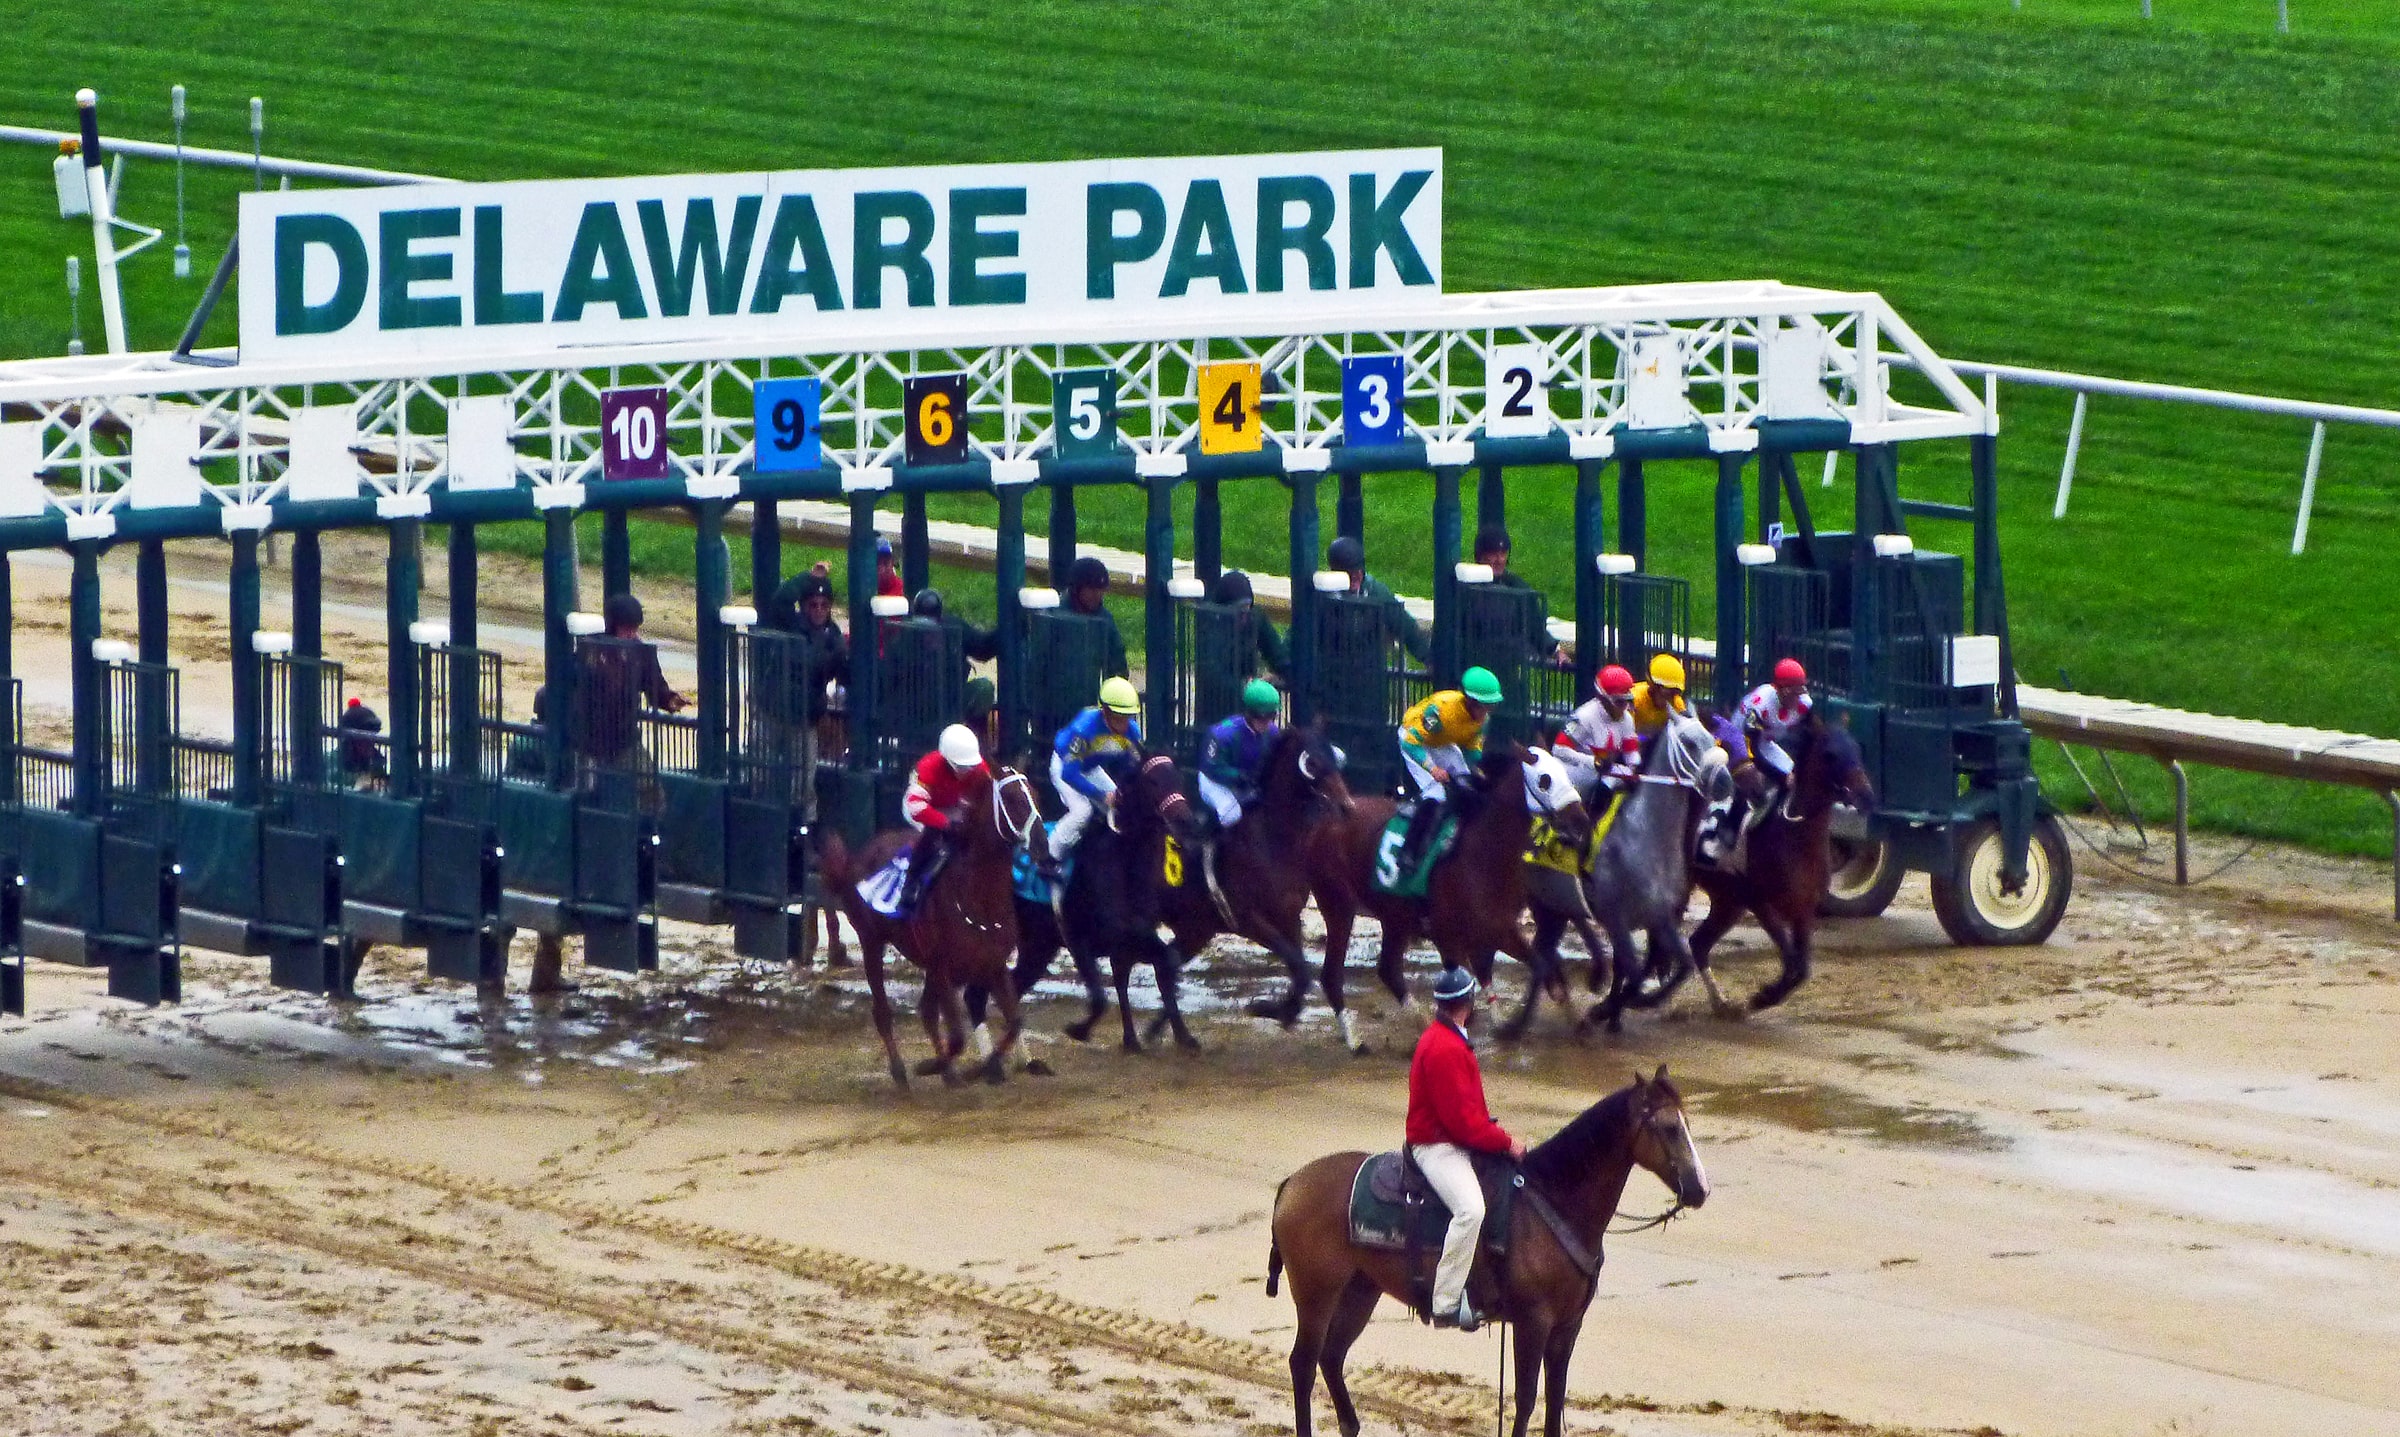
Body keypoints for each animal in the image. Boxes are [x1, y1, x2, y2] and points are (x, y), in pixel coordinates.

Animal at [820, 772, 1046, 1084]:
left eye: (1035, 794)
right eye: (1012, 799)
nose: (1041, 842)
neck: (979, 898)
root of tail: (857, 859)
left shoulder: (993, 965)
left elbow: (1014, 1022)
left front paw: (979, 1067)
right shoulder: (943, 967)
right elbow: (958, 1037)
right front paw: (932, 1066)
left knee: (926, 1012)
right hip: (871, 942)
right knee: (883, 1012)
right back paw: (901, 1072)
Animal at [1267, 1069, 1718, 1437]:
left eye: (1687, 1124)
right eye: (1669, 1128)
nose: (1699, 1190)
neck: (1552, 1201)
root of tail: (1293, 1183)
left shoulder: (1567, 1327)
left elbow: (1555, 1400)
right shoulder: (1532, 1323)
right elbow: (1527, 1398)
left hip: (1359, 1292)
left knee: (1331, 1357)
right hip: (1316, 1296)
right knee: (1303, 1364)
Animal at [1305, 748, 1584, 1050]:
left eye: (1566, 772)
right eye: (1544, 780)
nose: (1581, 820)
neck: (1482, 852)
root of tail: (1327, 820)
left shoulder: (1500, 928)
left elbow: (1537, 964)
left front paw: (1561, 1015)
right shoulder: (1449, 938)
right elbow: (1464, 984)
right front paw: (1508, 1026)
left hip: (1395, 917)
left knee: (1389, 969)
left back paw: (1420, 1020)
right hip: (1338, 906)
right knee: (1332, 975)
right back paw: (1355, 1040)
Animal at [1497, 714, 1728, 1041]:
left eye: (1711, 738)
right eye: (1690, 742)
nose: (1725, 781)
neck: (1642, 836)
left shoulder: (1660, 917)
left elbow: (1681, 966)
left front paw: (1615, 1011)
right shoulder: (1616, 917)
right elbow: (1634, 973)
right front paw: (1605, 1010)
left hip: (1553, 906)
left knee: (1548, 952)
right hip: (1539, 903)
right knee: (1543, 955)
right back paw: (1523, 1021)